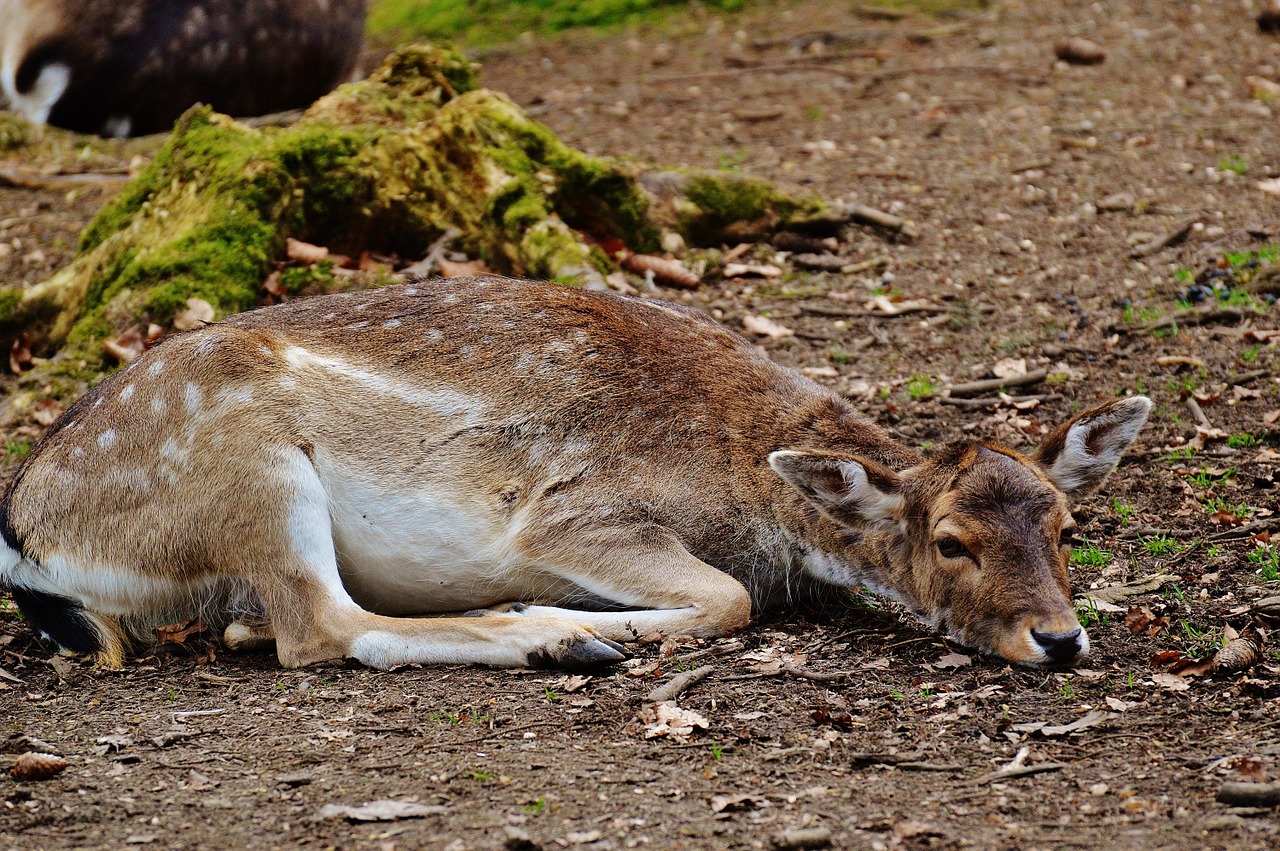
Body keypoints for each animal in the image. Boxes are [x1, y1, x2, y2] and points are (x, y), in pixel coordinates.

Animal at [0, 278, 1157, 670]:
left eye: (1064, 524)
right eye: (950, 542)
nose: (1059, 637)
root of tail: (29, 536)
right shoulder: (577, 515)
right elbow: (728, 597)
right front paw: (563, 611)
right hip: (250, 467)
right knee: (319, 629)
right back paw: (557, 637)